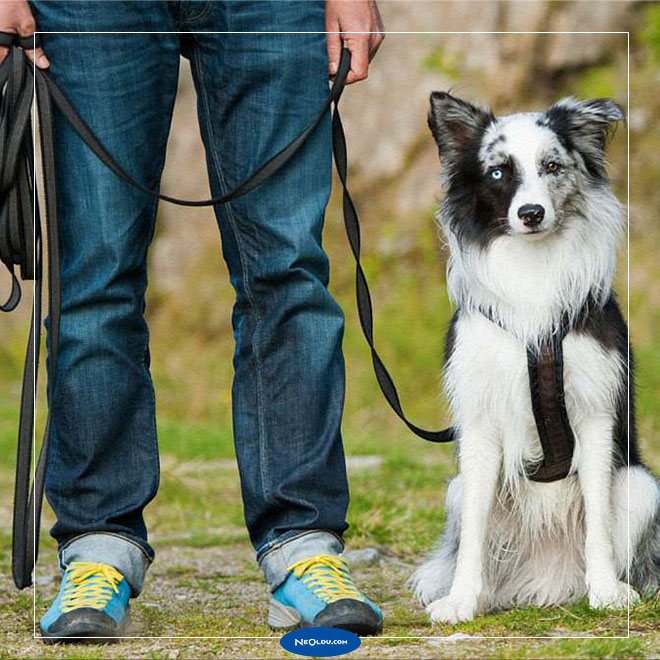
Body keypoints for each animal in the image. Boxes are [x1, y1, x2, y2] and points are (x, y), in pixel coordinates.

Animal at [410, 93, 656, 624]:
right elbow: (475, 531)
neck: (532, 266)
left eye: (552, 166)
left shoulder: (595, 414)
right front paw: (461, 600)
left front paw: (606, 591)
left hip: (643, 486)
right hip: (456, 489)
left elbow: (598, 519)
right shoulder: (480, 421)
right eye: (498, 172)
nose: (530, 213)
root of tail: (547, 577)